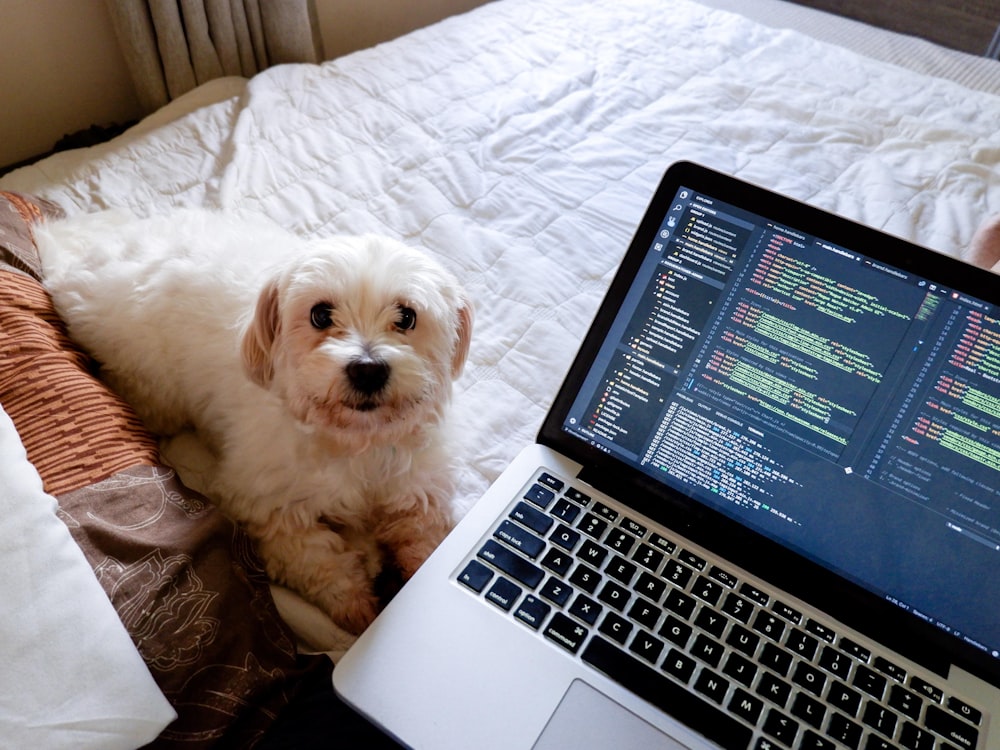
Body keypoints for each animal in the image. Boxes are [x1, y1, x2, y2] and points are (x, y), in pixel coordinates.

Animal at [38, 209, 472, 644]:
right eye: (320, 315)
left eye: (406, 317)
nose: (368, 370)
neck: (354, 440)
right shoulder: (269, 508)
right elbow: (317, 559)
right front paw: (354, 599)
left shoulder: (420, 486)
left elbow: (426, 537)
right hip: (154, 389)